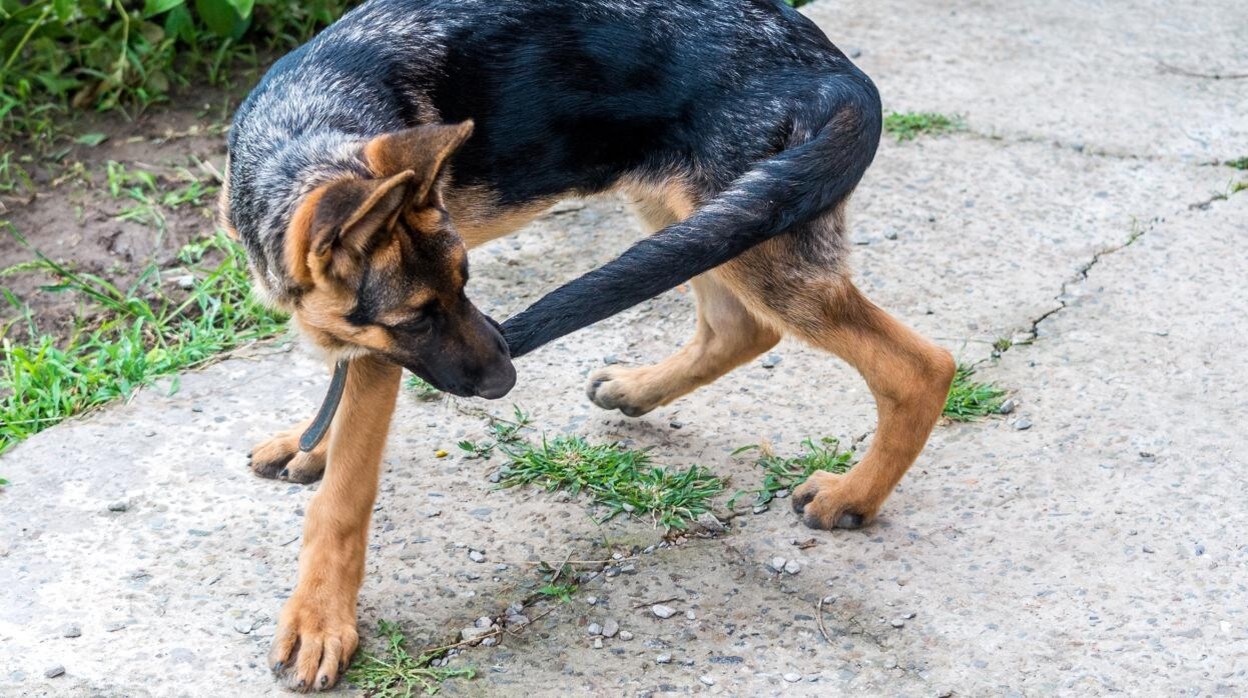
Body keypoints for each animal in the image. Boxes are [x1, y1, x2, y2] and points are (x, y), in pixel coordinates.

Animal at [222, 0, 953, 689]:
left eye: (466, 283)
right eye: (419, 317)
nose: (507, 381)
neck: (302, 133)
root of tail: (838, 73)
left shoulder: (378, 358)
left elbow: (344, 497)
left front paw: (319, 620)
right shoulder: (367, 337)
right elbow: (337, 396)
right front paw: (310, 443)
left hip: (754, 230)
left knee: (920, 366)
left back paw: (853, 496)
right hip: (706, 219)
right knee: (740, 327)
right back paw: (639, 390)